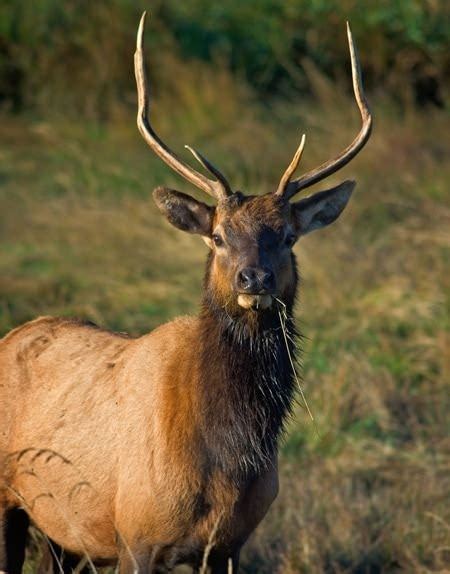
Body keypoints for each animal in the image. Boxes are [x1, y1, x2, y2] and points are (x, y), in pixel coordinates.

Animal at [0, 13, 370, 574]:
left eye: (287, 236)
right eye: (218, 236)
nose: (254, 279)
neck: (227, 462)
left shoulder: (230, 544)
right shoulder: (136, 534)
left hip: (59, 529)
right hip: (7, 498)